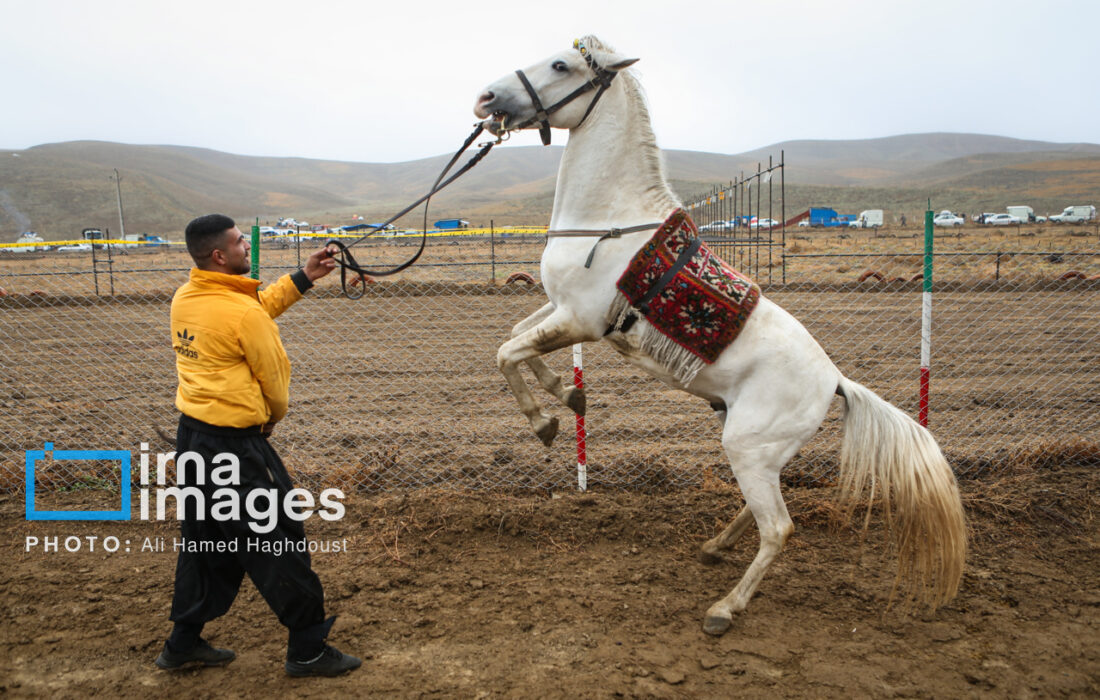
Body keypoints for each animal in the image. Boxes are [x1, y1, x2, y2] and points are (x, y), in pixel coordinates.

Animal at [473, 35, 963, 633]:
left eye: (561, 64)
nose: (486, 98)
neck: (609, 220)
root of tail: (836, 381)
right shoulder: (563, 310)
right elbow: (516, 337)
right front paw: (568, 395)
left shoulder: (580, 319)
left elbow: (506, 351)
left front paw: (546, 422)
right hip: (757, 448)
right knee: (760, 509)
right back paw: (714, 547)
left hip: (749, 448)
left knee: (778, 528)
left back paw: (724, 609)